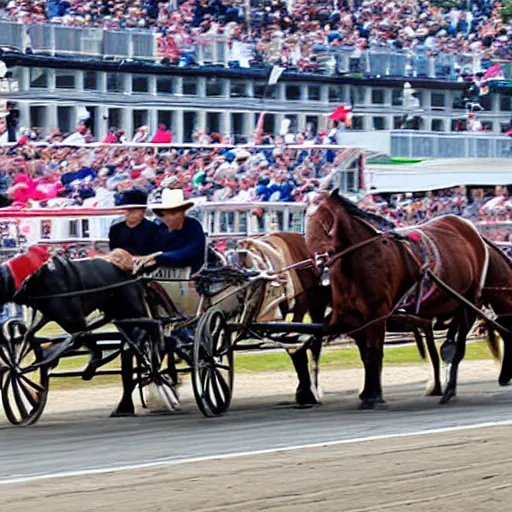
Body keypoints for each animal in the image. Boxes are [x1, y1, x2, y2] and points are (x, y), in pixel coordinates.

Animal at [306, 190, 490, 410]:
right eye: (307, 221)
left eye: (325, 224)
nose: (317, 260)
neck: (362, 260)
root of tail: (466, 225)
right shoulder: (349, 319)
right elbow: (359, 353)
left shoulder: (377, 314)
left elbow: (374, 353)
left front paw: (374, 396)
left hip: (468, 303)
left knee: (459, 346)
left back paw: (449, 390)